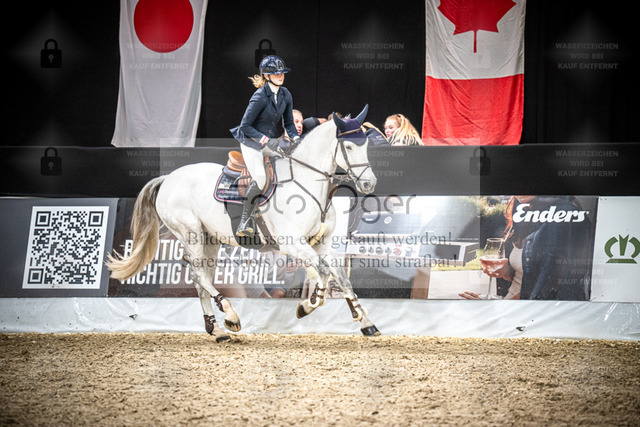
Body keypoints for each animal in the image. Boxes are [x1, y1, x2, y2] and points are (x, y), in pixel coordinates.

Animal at [106, 105, 380, 342]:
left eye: (366, 144)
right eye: (348, 146)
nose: (369, 184)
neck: (307, 184)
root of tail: (169, 178)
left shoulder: (322, 243)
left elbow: (342, 279)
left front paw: (366, 323)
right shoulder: (292, 244)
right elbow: (323, 271)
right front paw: (308, 305)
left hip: (210, 239)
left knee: (200, 279)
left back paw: (217, 330)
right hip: (190, 233)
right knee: (198, 275)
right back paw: (231, 316)